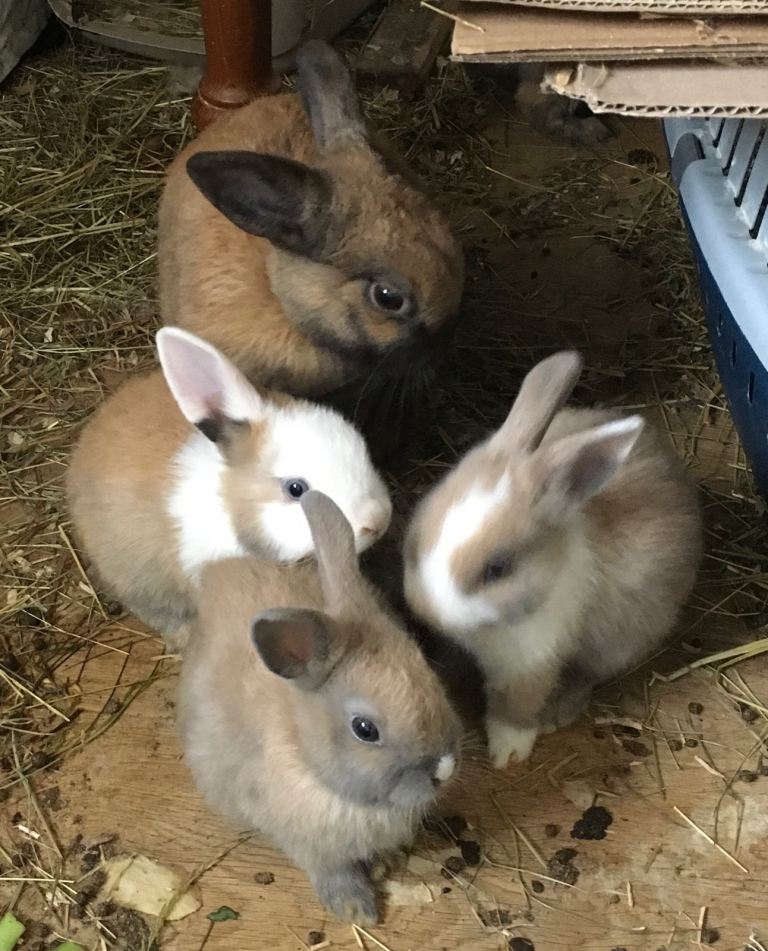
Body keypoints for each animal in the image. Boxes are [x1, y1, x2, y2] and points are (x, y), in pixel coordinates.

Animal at [178, 490, 462, 924]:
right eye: (365, 729)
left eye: (427, 671)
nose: (443, 769)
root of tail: (219, 573)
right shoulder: (312, 847)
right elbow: (333, 871)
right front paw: (356, 909)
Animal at [403, 351, 702, 769]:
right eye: (420, 531)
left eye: (497, 569)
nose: (424, 610)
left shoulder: (531, 665)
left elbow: (516, 709)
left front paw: (507, 753)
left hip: (620, 642)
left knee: (588, 675)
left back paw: (561, 711)